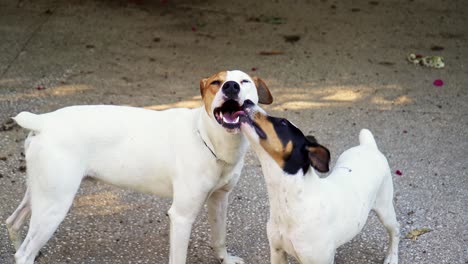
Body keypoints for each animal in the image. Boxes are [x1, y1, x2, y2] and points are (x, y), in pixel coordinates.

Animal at [5, 69, 272, 262]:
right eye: (216, 82)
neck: (207, 136)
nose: (231, 86)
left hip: (40, 195)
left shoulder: (219, 200)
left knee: (13, 222)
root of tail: (44, 121)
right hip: (54, 206)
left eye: (245, 81)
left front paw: (225, 259)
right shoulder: (181, 217)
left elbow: (219, 237)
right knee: (24, 253)